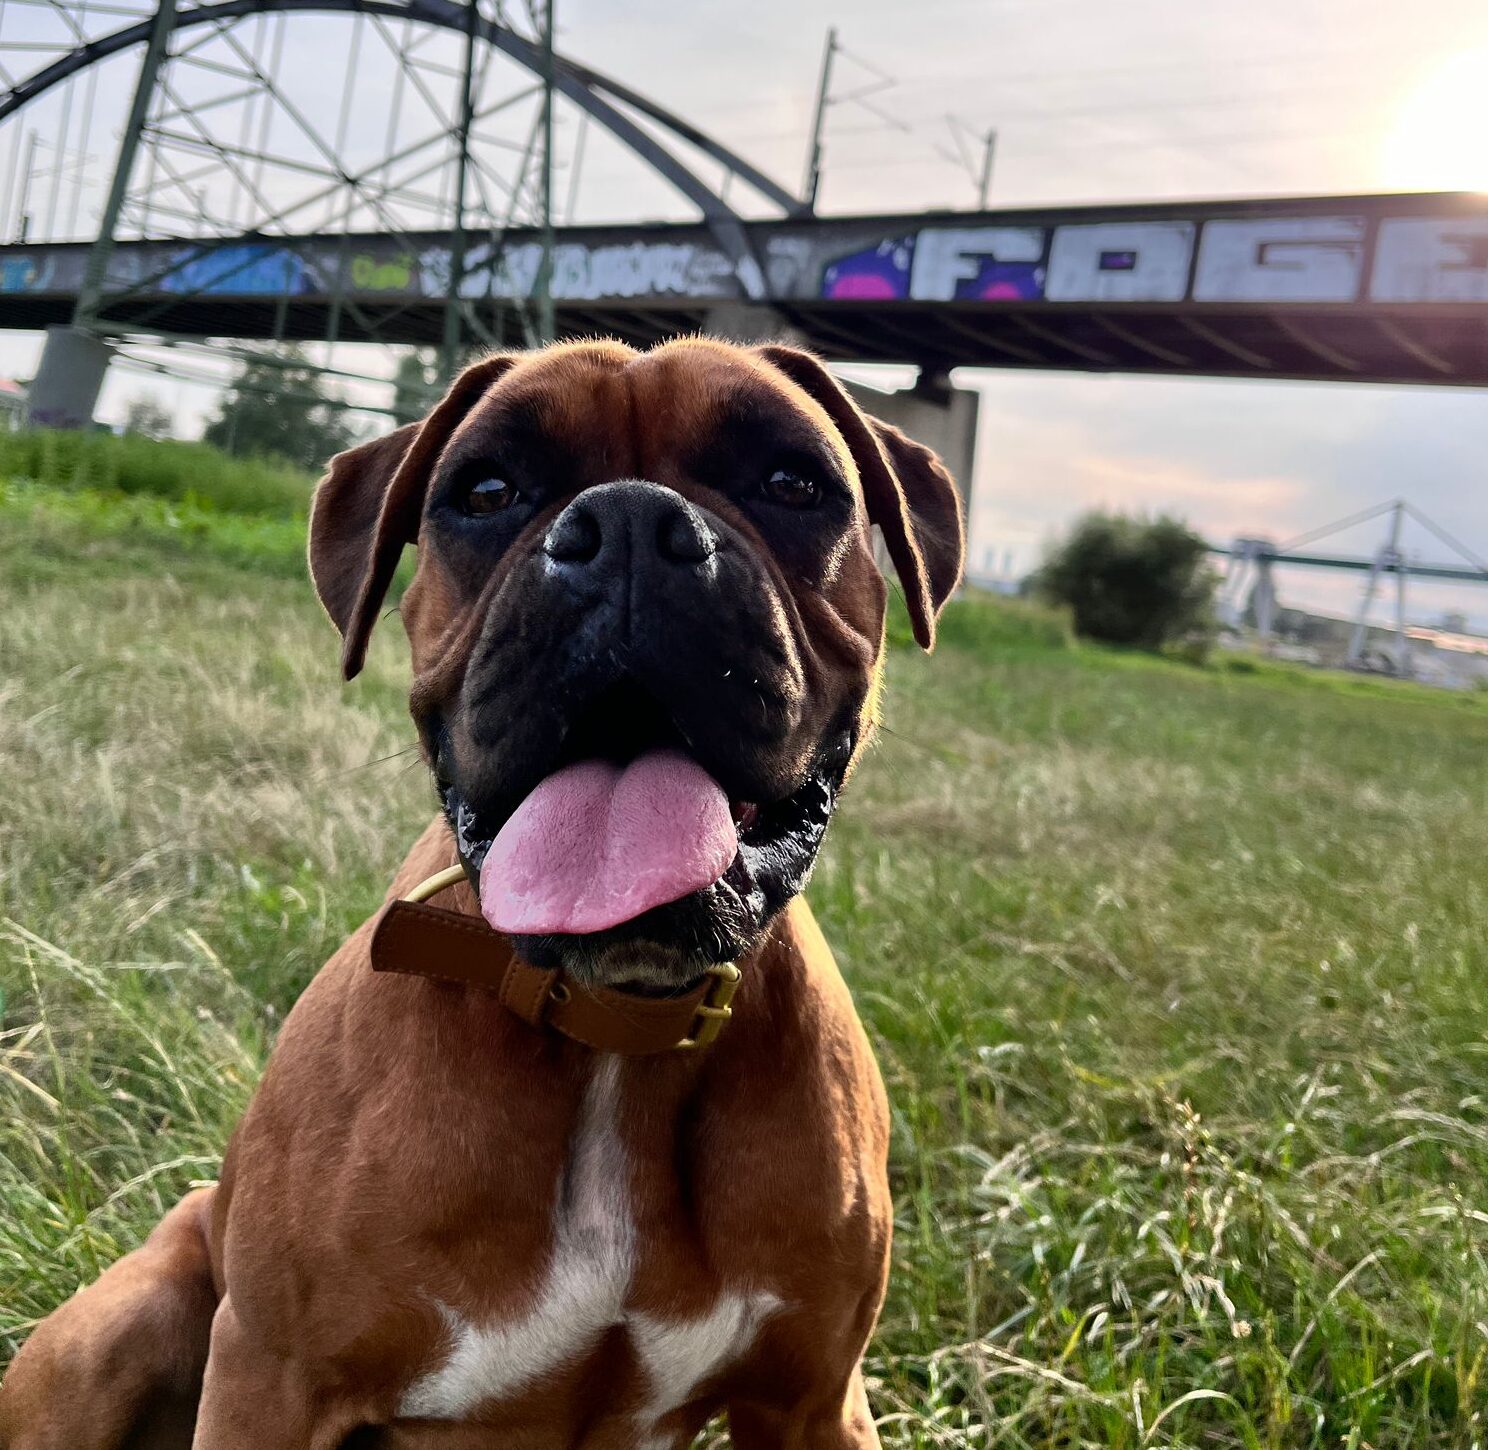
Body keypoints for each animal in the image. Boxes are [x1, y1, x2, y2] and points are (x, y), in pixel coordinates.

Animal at [0, 343, 964, 1450]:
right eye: (488, 491)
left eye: (793, 482)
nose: (630, 522)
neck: (612, 1028)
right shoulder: (268, 1381)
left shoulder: (813, 1401)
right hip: (136, 1317)